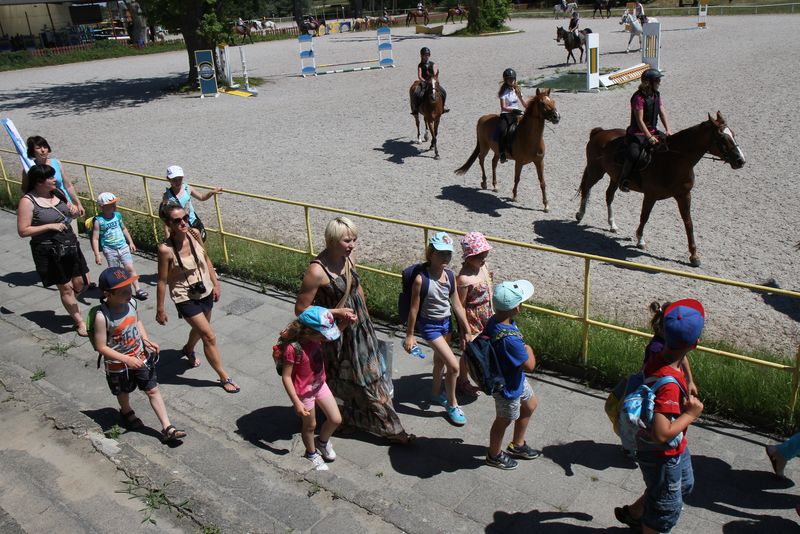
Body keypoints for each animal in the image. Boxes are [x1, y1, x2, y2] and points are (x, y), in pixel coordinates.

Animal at [576, 112, 744, 266]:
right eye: (722, 137)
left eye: (733, 134)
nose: (740, 160)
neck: (673, 160)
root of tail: (600, 132)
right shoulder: (650, 195)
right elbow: (644, 217)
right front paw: (640, 240)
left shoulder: (684, 195)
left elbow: (688, 223)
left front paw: (694, 256)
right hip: (596, 171)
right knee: (586, 188)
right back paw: (580, 214)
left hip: (614, 178)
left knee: (609, 195)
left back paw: (612, 225)